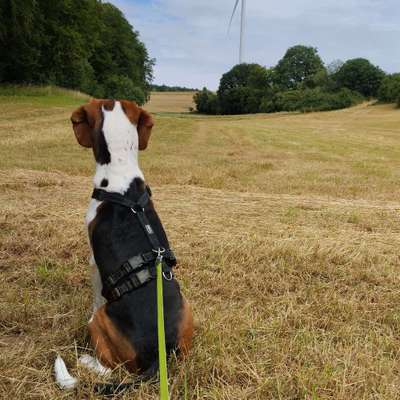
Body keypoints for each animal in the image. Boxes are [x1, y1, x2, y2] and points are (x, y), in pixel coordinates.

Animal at [55, 98, 194, 392]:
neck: (121, 175)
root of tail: (159, 355)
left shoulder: (93, 262)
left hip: (100, 321)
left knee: (110, 368)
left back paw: (87, 362)